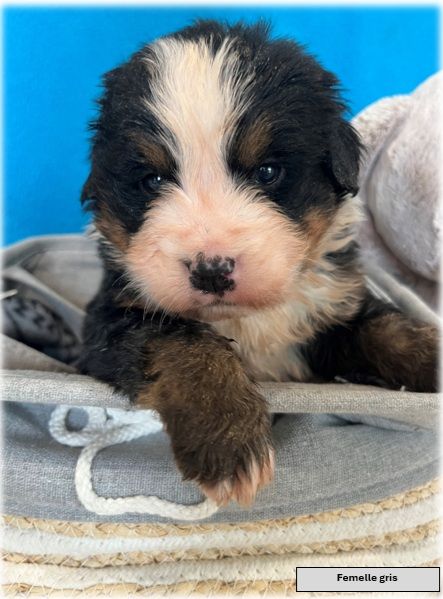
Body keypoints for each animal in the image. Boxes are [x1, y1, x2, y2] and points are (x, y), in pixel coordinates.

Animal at [79, 20, 438, 506]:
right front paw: (226, 438)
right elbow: (183, 344)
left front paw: (430, 354)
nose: (211, 270)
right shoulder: (112, 318)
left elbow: (386, 329)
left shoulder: (331, 311)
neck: (250, 319)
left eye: (268, 172)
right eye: (152, 180)